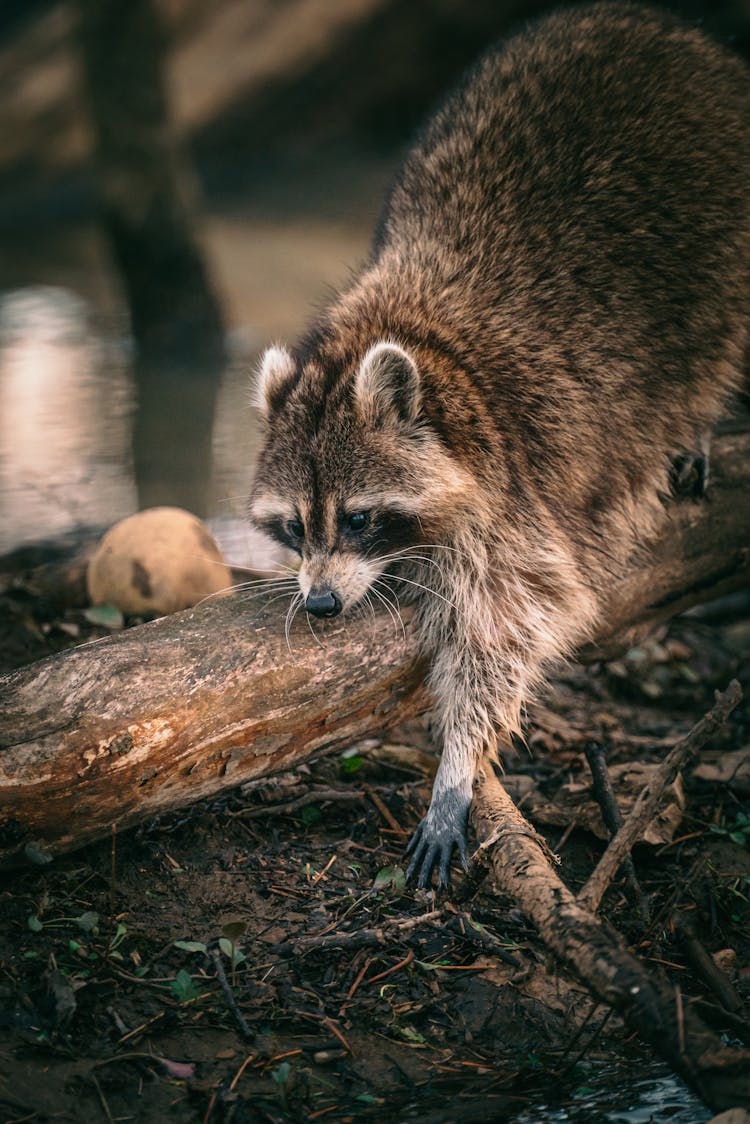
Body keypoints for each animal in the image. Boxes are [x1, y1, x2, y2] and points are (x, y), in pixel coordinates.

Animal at [250, 6, 750, 885]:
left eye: (358, 519)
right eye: (294, 526)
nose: (319, 605)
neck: (424, 348)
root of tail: (655, 26)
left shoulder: (521, 492)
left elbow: (514, 624)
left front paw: (458, 767)